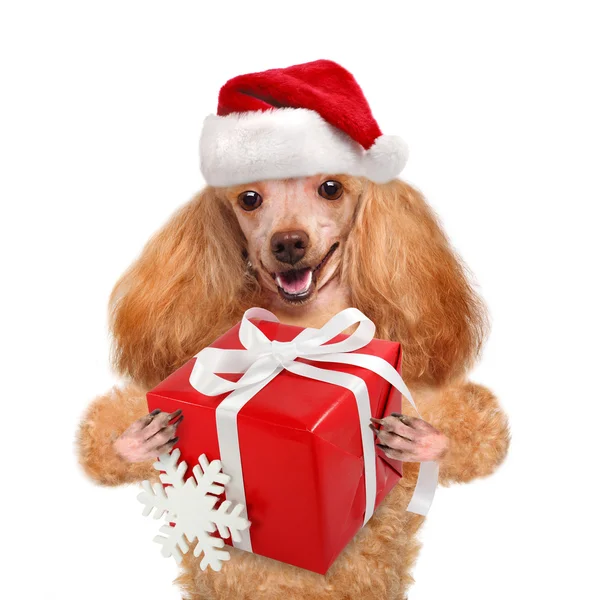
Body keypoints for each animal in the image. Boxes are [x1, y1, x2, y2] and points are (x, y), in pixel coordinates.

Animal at [76, 171, 510, 596]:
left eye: (331, 188)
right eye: (249, 198)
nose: (287, 243)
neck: (303, 324)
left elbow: (480, 432)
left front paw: (419, 438)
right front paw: (140, 437)